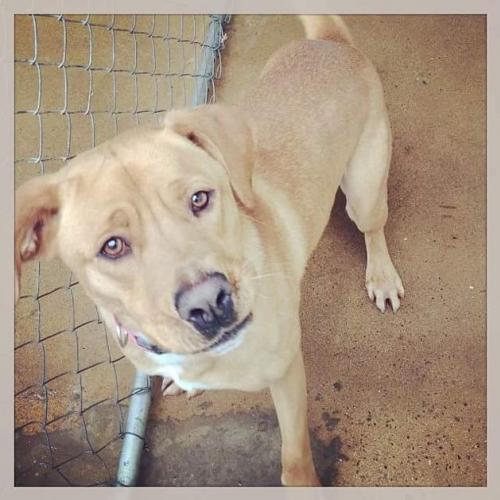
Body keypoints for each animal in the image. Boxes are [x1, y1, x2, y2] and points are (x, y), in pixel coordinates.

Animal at [15, 17, 402, 486]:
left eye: (200, 198)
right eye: (112, 246)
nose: (210, 304)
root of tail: (330, 43)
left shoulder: (288, 371)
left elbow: (294, 459)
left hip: (364, 189)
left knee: (373, 228)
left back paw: (382, 275)